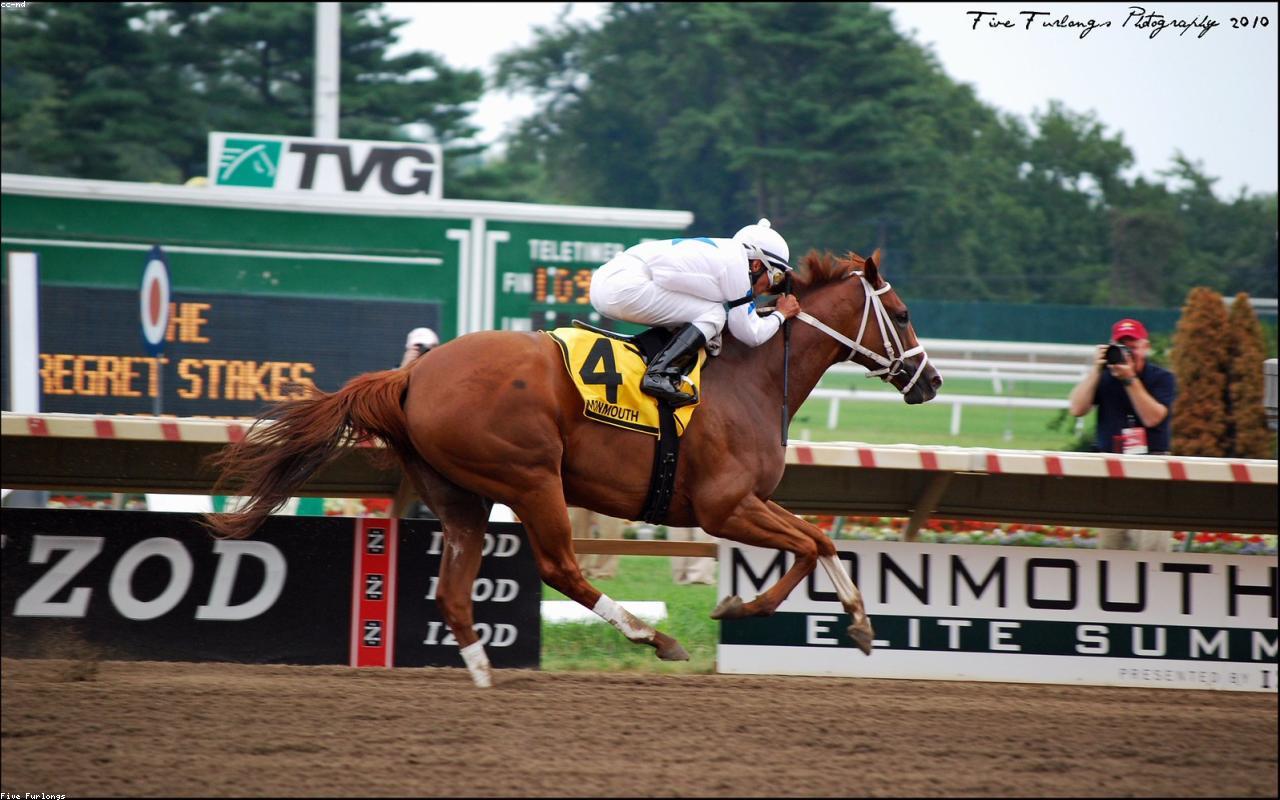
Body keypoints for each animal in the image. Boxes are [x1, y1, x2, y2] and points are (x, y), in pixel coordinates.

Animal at [204, 248, 942, 687]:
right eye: (903, 313)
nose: (931, 381)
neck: (753, 376)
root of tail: (413, 373)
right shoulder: (723, 505)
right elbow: (811, 543)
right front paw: (765, 608)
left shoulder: (742, 505)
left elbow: (816, 541)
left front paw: (839, 620)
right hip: (531, 477)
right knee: (560, 566)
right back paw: (653, 636)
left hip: (463, 496)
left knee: (453, 591)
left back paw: (482, 673)